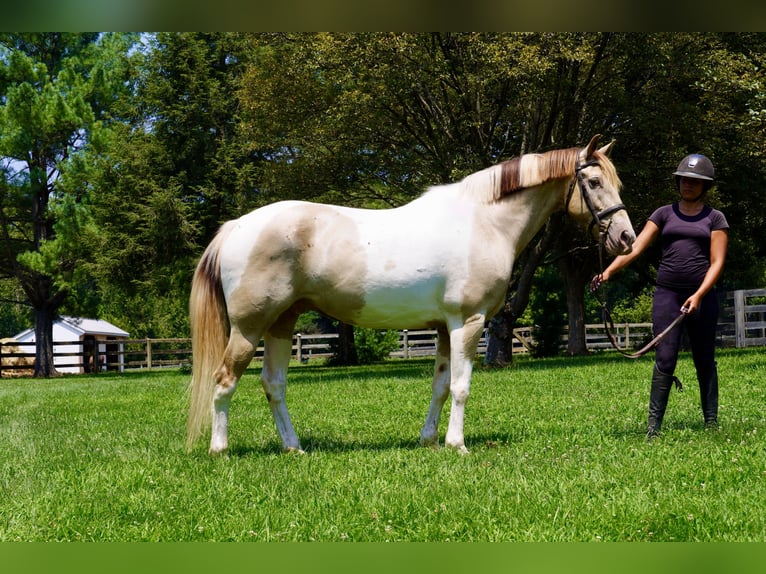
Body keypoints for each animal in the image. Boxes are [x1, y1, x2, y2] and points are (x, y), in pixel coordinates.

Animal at [187, 134, 636, 455]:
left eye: (616, 182)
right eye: (593, 181)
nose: (626, 237)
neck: (484, 222)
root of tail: (236, 227)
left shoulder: (442, 328)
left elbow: (440, 385)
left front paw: (430, 440)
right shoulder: (468, 322)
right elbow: (461, 386)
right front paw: (458, 445)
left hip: (282, 322)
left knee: (274, 385)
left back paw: (294, 448)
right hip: (248, 328)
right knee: (224, 381)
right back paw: (219, 449)